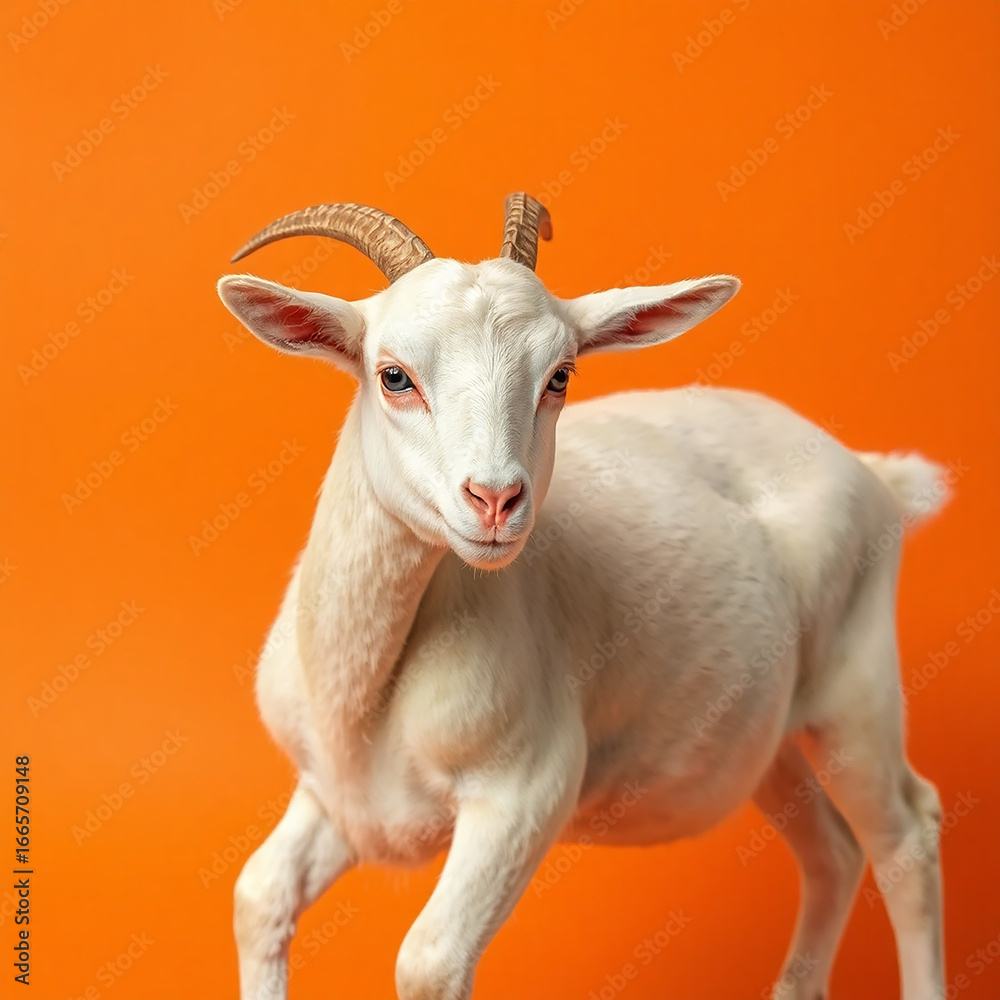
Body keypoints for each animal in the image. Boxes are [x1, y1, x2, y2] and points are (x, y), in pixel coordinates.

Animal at [217, 193, 947, 1000]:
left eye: (559, 375)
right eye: (394, 376)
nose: (496, 500)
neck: (359, 701)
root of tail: (875, 475)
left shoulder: (525, 792)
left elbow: (429, 962)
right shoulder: (333, 797)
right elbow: (258, 896)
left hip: (858, 694)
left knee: (907, 835)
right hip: (767, 735)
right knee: (835, 851)